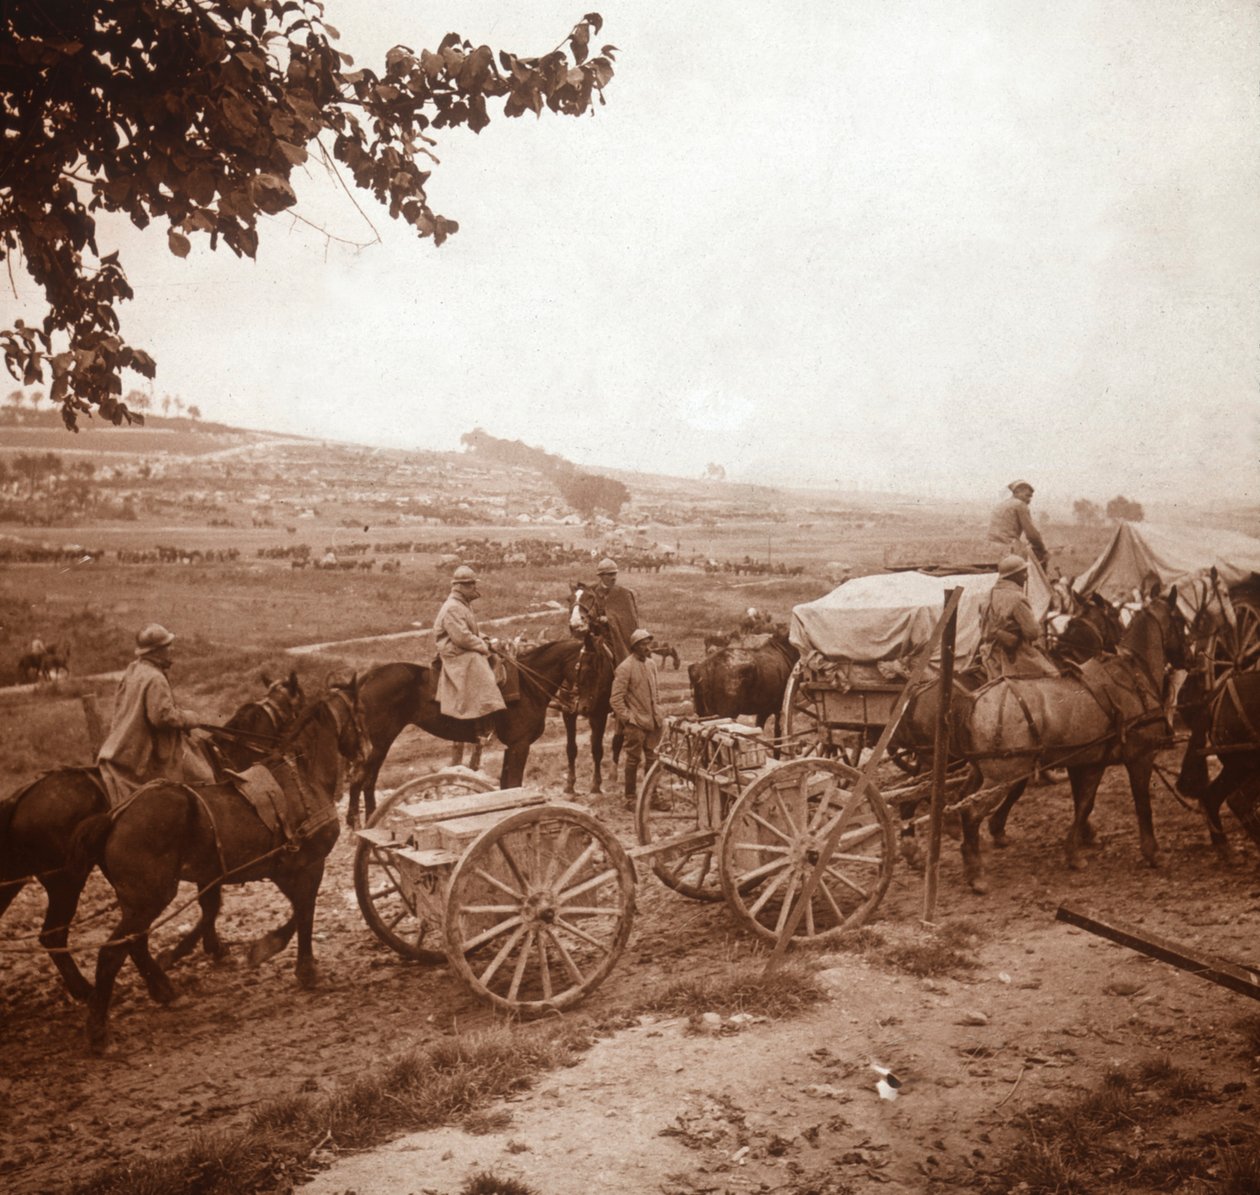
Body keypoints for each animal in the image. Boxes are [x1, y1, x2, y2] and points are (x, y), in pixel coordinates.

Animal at [0, 670, 304, 998]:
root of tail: (22, 795)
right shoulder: (211, 861)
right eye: (300, 706)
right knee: (54, 935)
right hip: (65, 882)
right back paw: (89, 989)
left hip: (16, 878)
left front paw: (207, 948)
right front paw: (201, 949)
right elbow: (210, 905)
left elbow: (208, 906)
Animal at [72, 675, 367, 1048]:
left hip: (137, 901)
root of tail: (114, 817)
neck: (302, 777)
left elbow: (290, 910)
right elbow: (304, 912)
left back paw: (164, 990)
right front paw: (303, 968)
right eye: (361, 710)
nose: (367, 751)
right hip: (149, 898)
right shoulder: (308, 865)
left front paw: (263, 948)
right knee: (113, 951)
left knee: (134, 943)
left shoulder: (282, 870)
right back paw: (98, 1029)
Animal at [345, 635, 589, 831]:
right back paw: (356, 823)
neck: (527, 686)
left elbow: (505, 785)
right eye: (588, 664)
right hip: (379, 743)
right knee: (360, 779)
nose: (581, 706)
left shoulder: (511, 746)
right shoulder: (520, 745)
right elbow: (514, 784)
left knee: (368, 781)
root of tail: (369, 677)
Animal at [952, 592, 1189, 892]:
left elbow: (1084, 804)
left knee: (962, 800)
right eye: (1180, 621)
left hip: (982, 772)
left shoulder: (1088, 763)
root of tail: (974, 700)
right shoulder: (1140, 759)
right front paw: (1152, 852)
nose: (1190, 657)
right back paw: (976, 873)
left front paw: (1074, 852)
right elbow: (1141, 805)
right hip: (1002, 776)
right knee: (971, 812)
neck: (1135, 675)